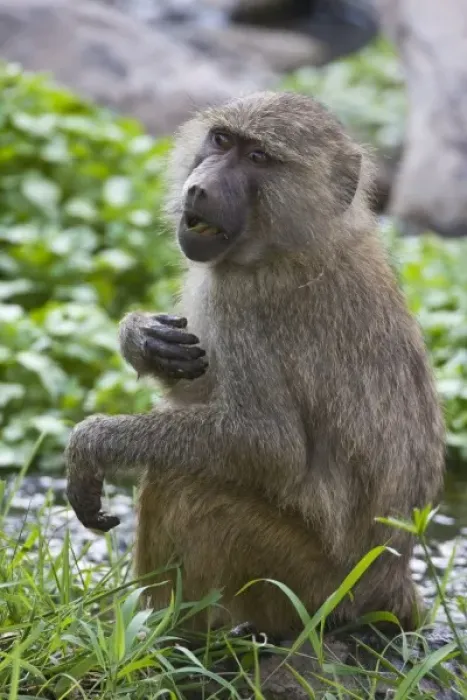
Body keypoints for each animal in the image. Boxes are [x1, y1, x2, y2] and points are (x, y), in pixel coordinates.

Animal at [65, 90, 445, 639]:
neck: (292, 240)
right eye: (222, 140)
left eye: (259, 157)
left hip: (306, 587)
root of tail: (393, 587)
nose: (199, 188)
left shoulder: (242, 301)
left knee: (181, 485)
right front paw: (142, 338)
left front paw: (91, 443)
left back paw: (163, 631)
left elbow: (266, 443)